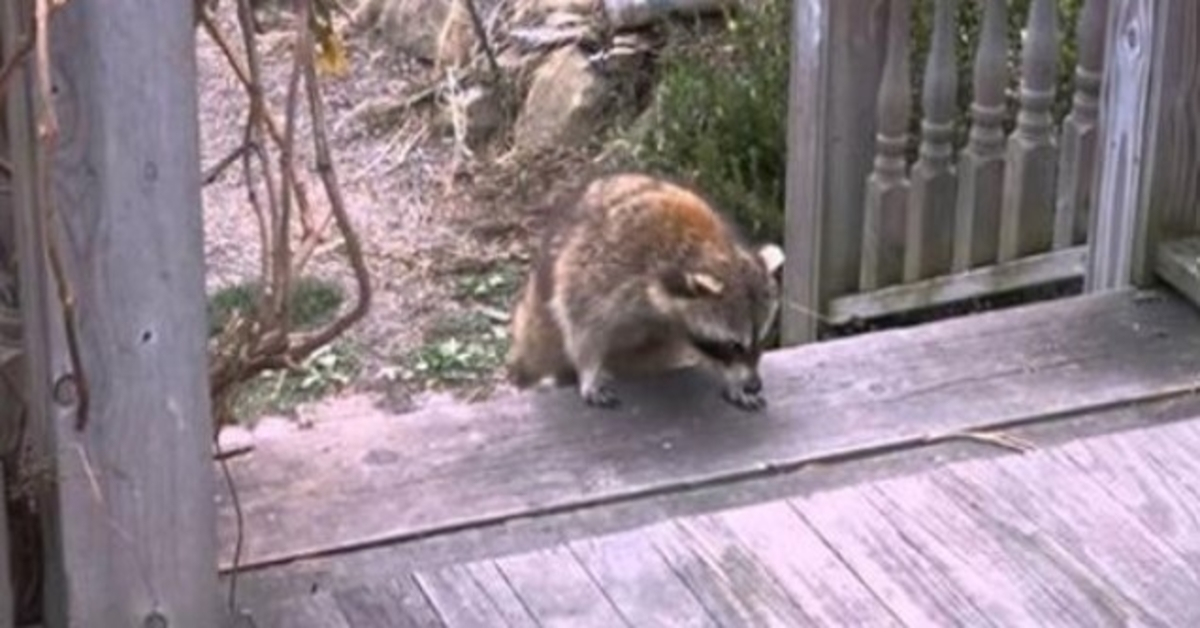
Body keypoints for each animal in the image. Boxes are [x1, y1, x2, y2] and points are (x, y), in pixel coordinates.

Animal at [506, 172, 786, 411]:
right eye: (734, 345)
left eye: (762, 340)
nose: (754, 384)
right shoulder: (601, 271)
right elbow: (583, 326)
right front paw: (589, 372)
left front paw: (733, 381)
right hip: (538, 318)